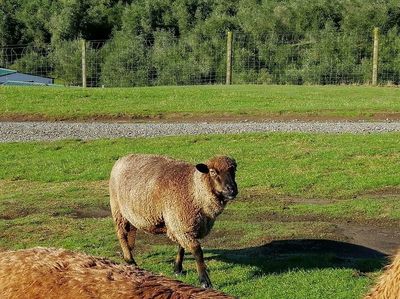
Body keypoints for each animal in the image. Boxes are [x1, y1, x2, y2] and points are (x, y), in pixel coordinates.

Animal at [109, 155, 238, 288]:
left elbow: (181, 247)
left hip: (131, 213)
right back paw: (130, 260)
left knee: (131, 231)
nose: (232, 190)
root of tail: (122, 159)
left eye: (234, 170)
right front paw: (204, 281)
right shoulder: (180, 224)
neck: (194, 189)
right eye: (212, 172)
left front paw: (177, 269)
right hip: (117, 209)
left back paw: (129, 253)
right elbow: (197, 251)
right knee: (121, 234)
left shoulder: (181, 224)